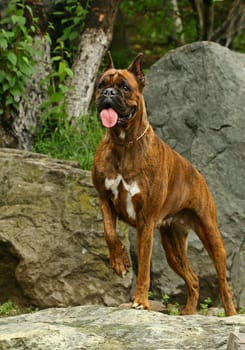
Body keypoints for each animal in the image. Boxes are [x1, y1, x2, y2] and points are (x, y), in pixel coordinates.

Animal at [91, 51, 235, 314]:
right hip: (172, 246)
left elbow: (145, 267)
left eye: (124, 87)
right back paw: (188, 314)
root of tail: (198, 173)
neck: (124, 143)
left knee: (223, 281)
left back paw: (230, 314)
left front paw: (140, 301)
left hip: (210, 234)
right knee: (193, 279)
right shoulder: (105, 199)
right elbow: (109, 233)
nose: (108, 94)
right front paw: (120, 262)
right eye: (101, 85)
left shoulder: (146, 221)